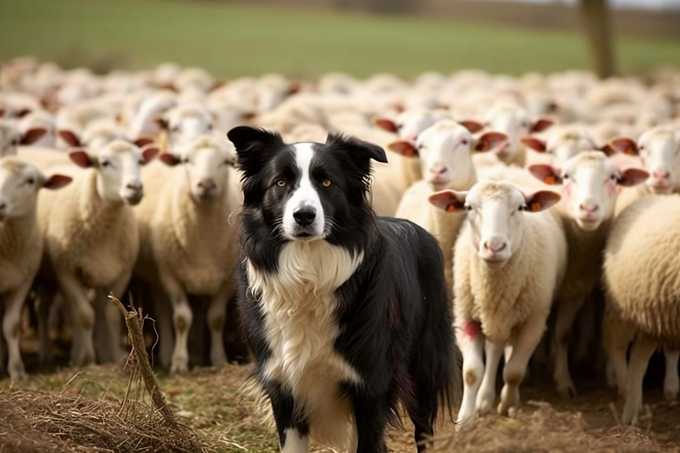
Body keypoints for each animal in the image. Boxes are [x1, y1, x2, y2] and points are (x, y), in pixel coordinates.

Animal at [37, 140, 158, 365]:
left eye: (140, 160)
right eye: (105, 163)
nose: (135, 188)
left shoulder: (121, 273)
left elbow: (110, 315)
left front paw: (113, 357)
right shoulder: (66, 271)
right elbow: (85, 315)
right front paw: (87, 360)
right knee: (51, 309)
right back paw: (59, 353)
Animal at [134, 135, 240, 373]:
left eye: (226, 162)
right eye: (186, 161)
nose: (206, 185)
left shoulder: (229, 279)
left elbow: (216, 318)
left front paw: (219, 359)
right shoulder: (170, 275)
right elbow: (182, 319)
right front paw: (179, 363)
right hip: (158, 275)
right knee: (163, 311)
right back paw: (166, 355)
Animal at [429, 180, 566, 426]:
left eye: (521, 208)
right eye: (469, 207)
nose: (494, 247)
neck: (494, 286)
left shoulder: (534, 323)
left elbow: (514, 372)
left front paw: (508, 404)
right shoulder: (465, 318)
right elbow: (472, 372)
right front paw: (465, 419)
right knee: (495, 349)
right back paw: (484, 400)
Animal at [527, 152, 649, 397]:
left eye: (614, 178)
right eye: (566, 176)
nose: (589, 208)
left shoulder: (577, 291)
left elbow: (563, 335)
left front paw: (564, 381)